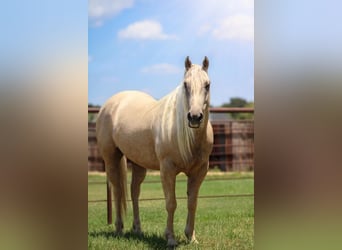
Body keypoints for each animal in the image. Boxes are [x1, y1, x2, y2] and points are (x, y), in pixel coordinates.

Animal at [96, 56, 212, 246]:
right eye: (185, 84)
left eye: (207, 84)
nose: (194, 117)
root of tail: (110, 104)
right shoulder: (167, 169)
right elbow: (171, 203)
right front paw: (170, 238)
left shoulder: (200, 171)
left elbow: (192, 203)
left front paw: (191, 237)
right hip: (111, 158)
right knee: (117, 190)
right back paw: (119, 228)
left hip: (138, 164)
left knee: (134, 191)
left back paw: (137, 229)